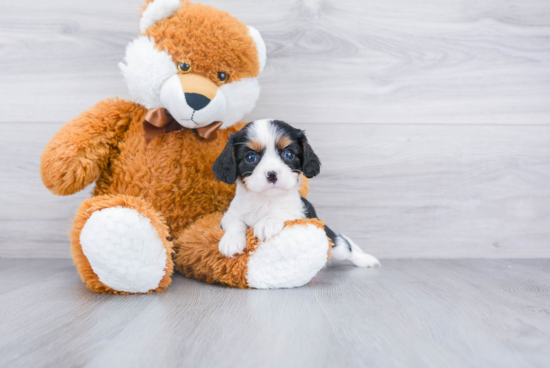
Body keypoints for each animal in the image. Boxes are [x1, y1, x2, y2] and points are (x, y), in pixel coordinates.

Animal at [213, 118, 382, 268]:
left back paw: (366, 260)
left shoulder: (301, 212)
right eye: (251, 157)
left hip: (333, 241)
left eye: (288, 154)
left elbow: (284, 211)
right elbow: (234, 222)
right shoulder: (230, 214)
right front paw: (231, 240)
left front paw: (268, 222)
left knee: (346, 247)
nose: (272, 174)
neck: (266, 200)